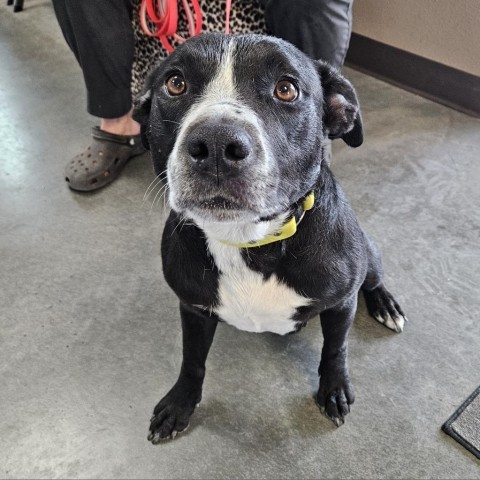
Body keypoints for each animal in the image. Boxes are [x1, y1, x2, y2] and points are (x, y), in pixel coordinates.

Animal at [133, 33, 406, 444]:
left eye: (286, 89)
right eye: (175, 83)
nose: (216, 144)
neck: (249, 240)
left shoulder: (341, 302)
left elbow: (336, 349)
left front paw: (334, 389)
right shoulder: (193, 307)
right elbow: (192, 359)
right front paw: (180, 403)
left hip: (369, 255)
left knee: (373, 281)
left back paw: (386, 305)